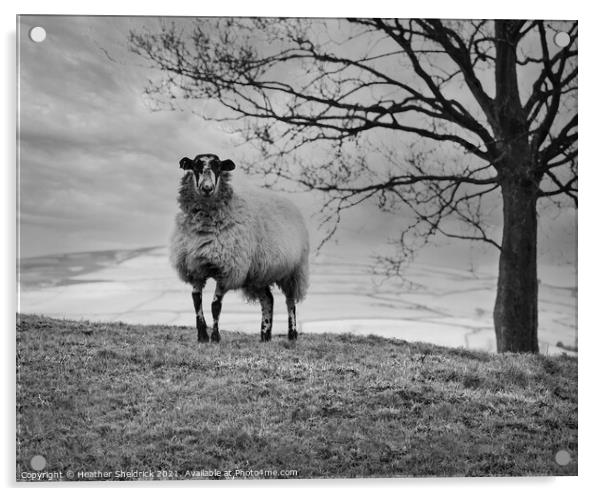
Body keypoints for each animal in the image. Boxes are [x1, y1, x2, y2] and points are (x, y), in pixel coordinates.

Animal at [169, 153, 310, 342]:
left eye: (218, 167)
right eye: (196, 165)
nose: (207, 188)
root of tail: (286, 201)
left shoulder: (227, 270)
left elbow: (215, 305)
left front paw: (215, 337)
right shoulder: (195, 268)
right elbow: (196, 300)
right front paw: (202, 336)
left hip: (293, 271)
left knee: (290, 302)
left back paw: (292, 334)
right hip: (258, 274)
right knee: (268, 300)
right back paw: (265, 335)